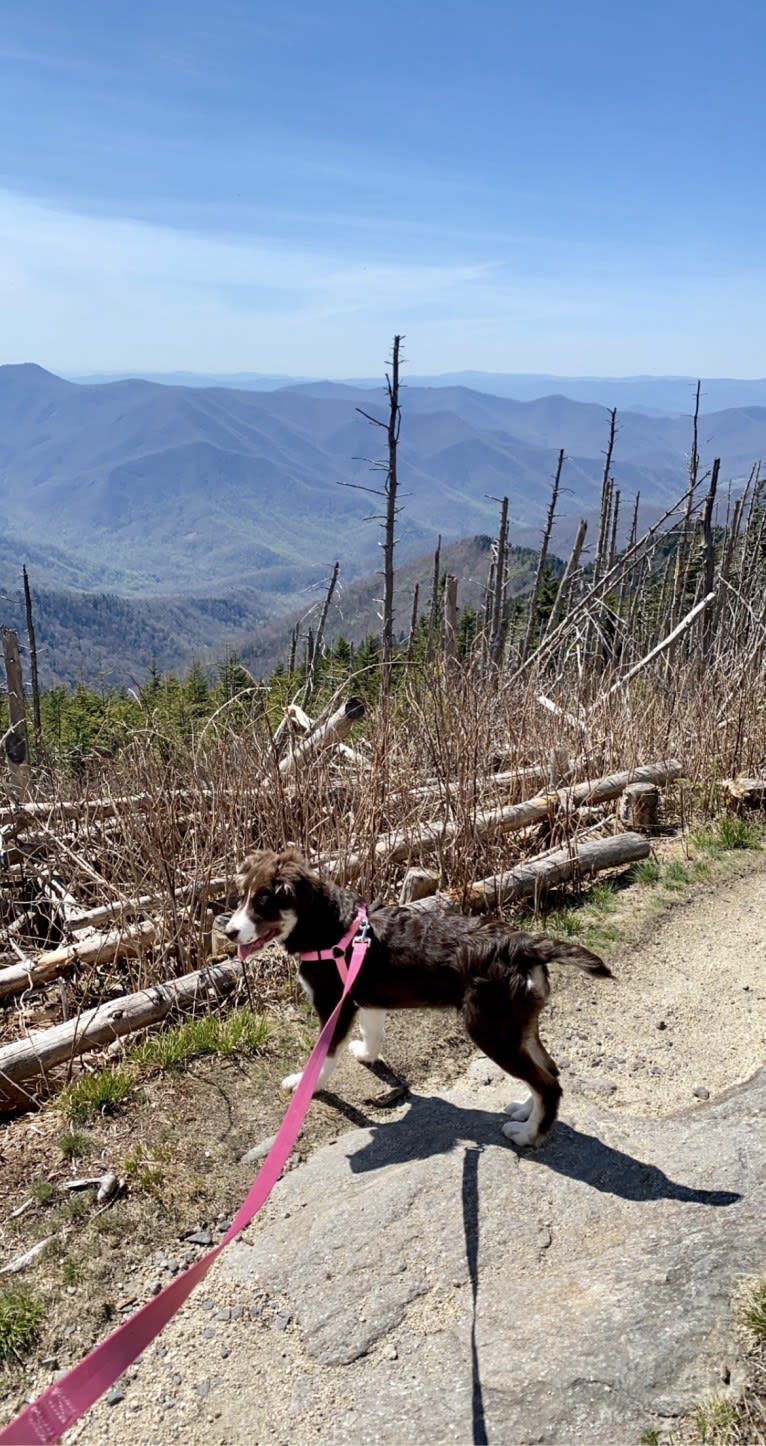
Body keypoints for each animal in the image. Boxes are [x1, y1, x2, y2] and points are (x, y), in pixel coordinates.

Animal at [224, 844, 609, 1145]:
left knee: (548, 1084)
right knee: (547, 1072)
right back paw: (525, 1112)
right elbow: (373, 1034)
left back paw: (529, 1134)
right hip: (518, 1025)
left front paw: (306, 1084)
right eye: (241, 897)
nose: (228, 932)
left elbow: (323, 1058)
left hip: (491, 1029)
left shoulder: (335, 1005)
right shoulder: (364, 1000)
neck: (326, 924)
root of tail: (522, 944)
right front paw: (367, 1055)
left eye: (263, 903)